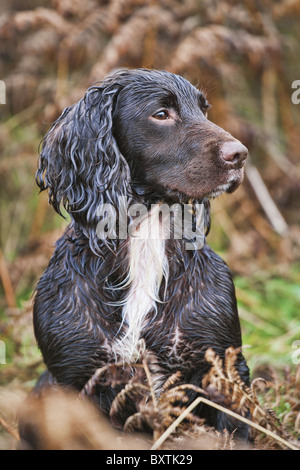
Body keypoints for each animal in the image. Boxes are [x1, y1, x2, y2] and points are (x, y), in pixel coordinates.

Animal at [32, 69, 250, 436]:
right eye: (161, 114)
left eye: (204, 110)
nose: (240, 154)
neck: (145, 241)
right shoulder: (72, 376)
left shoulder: (222, 366)